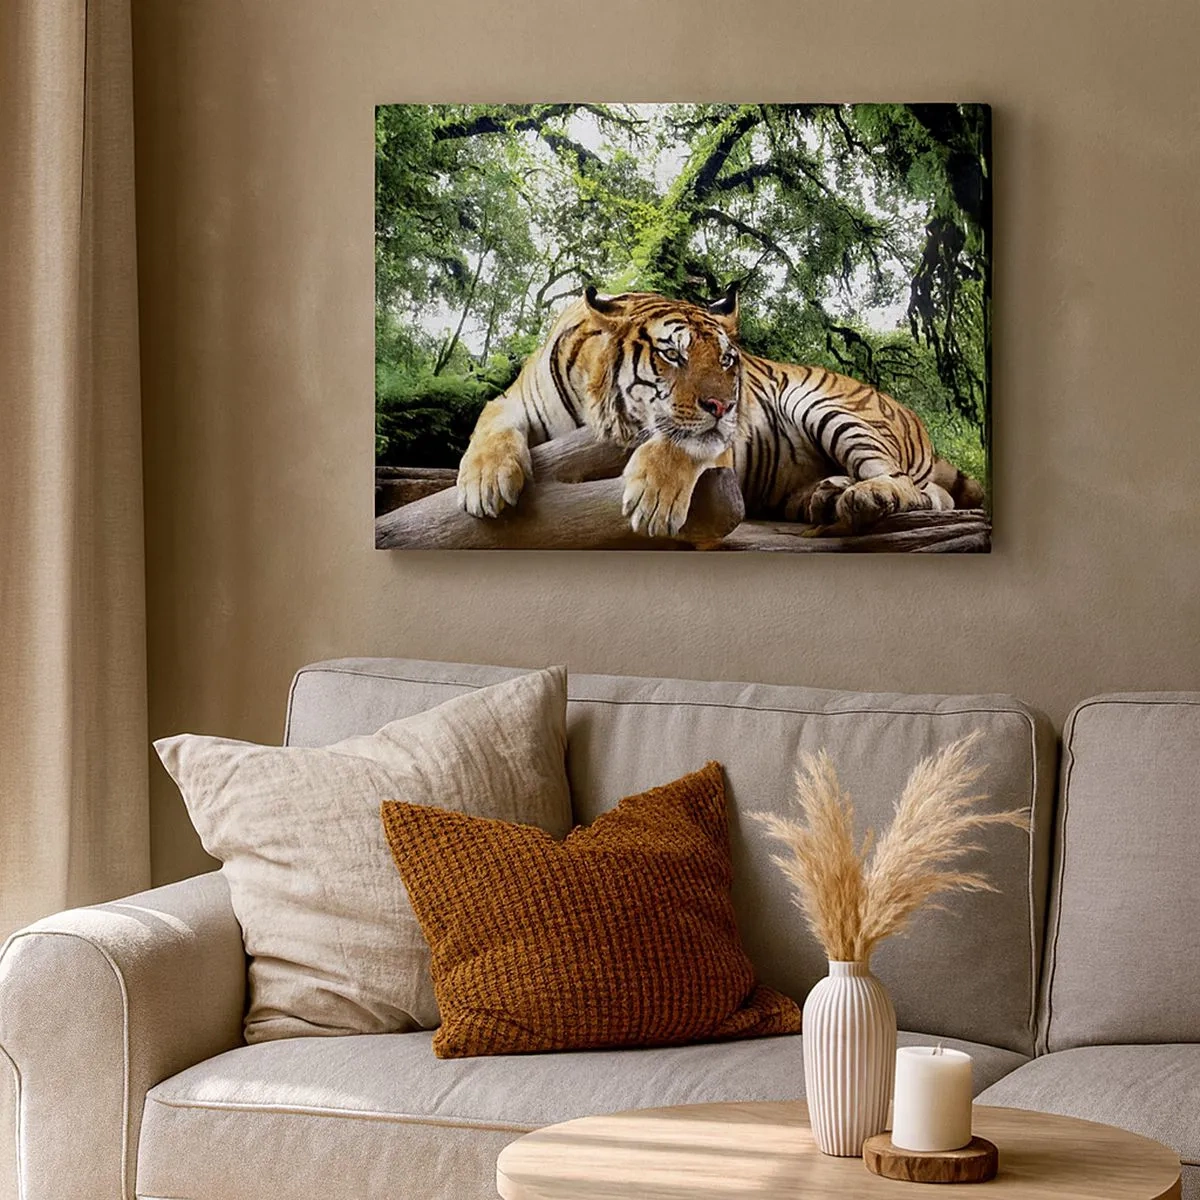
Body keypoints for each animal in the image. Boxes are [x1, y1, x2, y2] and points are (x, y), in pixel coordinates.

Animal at [455, 286, 983, 538]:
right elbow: (489, 424)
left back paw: (863, 497)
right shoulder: (511, 401)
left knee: (914, 489)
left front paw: (653, 500)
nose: (726, 405)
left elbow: (680, 443)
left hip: (829, 406)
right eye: (673, 354)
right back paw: (824, 495)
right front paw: (484, 482)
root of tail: (913, 416)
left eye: (727, 359)